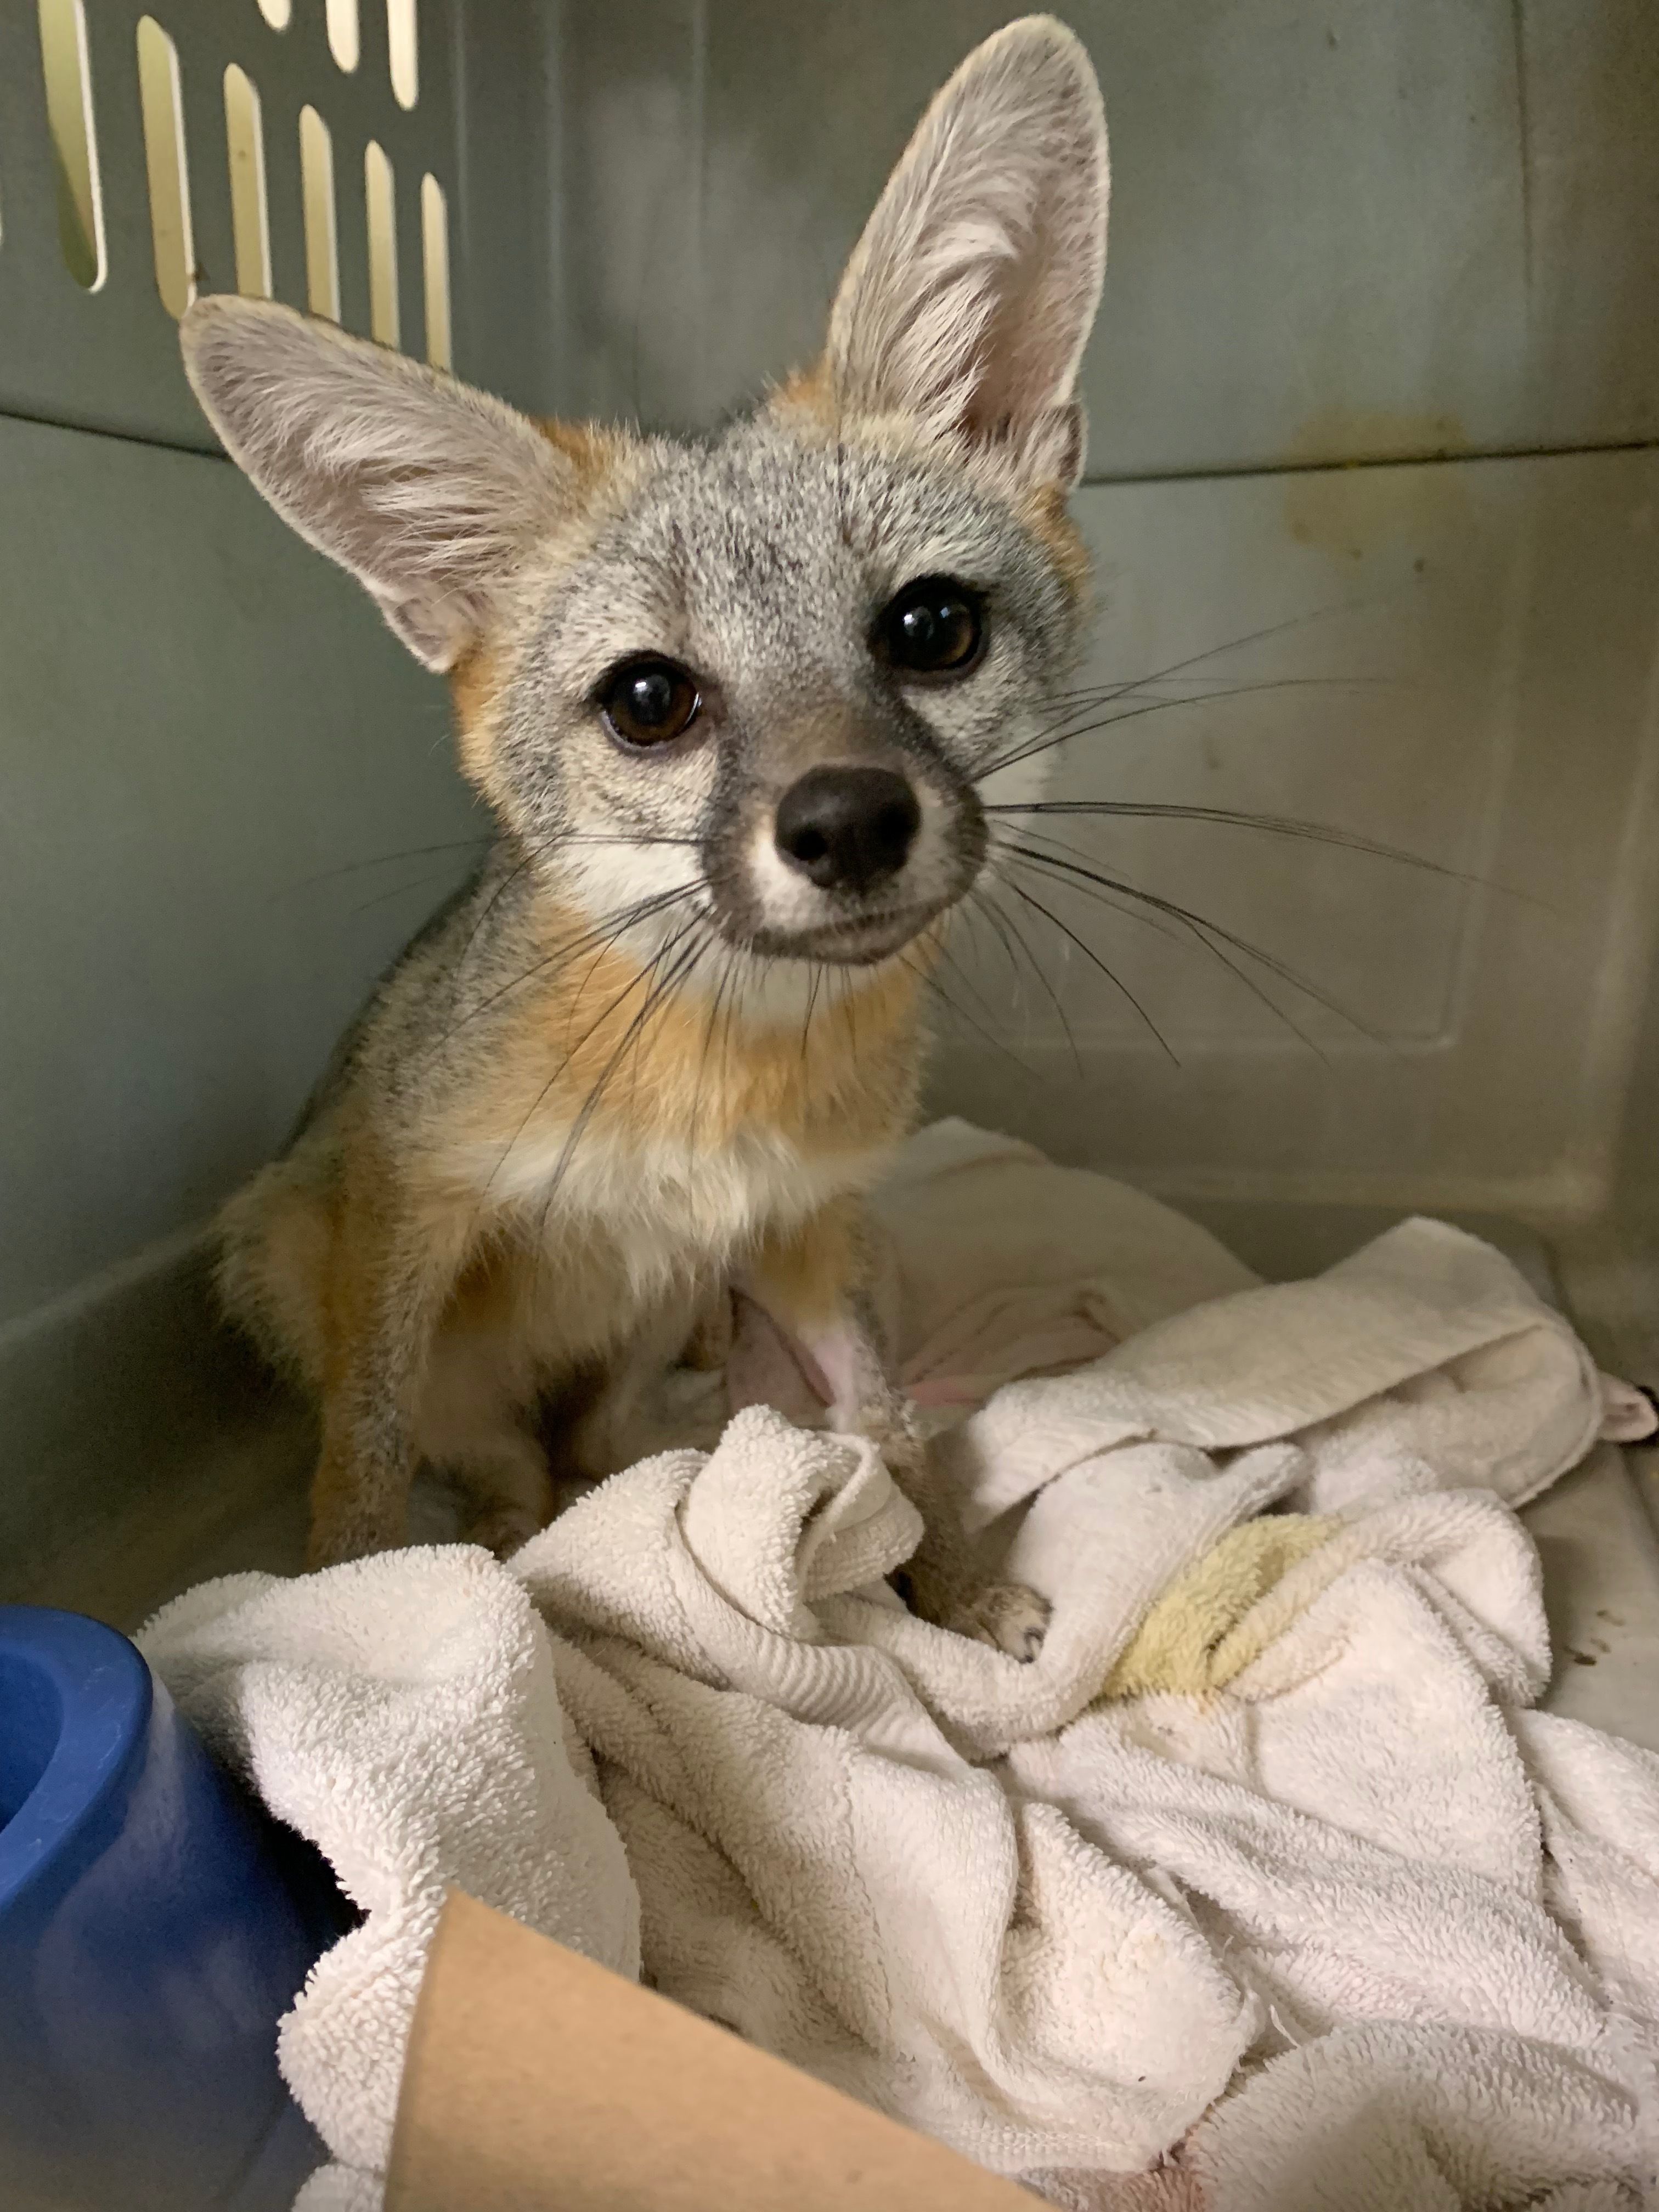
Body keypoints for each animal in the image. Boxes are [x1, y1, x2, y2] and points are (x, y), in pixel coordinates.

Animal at [181, 8, 1110, 1654]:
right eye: (648, 701)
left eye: (931, 629)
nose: (847, 822)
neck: (721, 1069)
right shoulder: (408, 1208)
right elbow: (362, 1452)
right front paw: (337, 1608)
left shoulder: (801, 1231)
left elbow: (889, 1428)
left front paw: (947, 1575)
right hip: (288, 1257)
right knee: (500, 1478)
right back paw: (503, 1565)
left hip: (669, 1310)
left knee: (603, 1459)